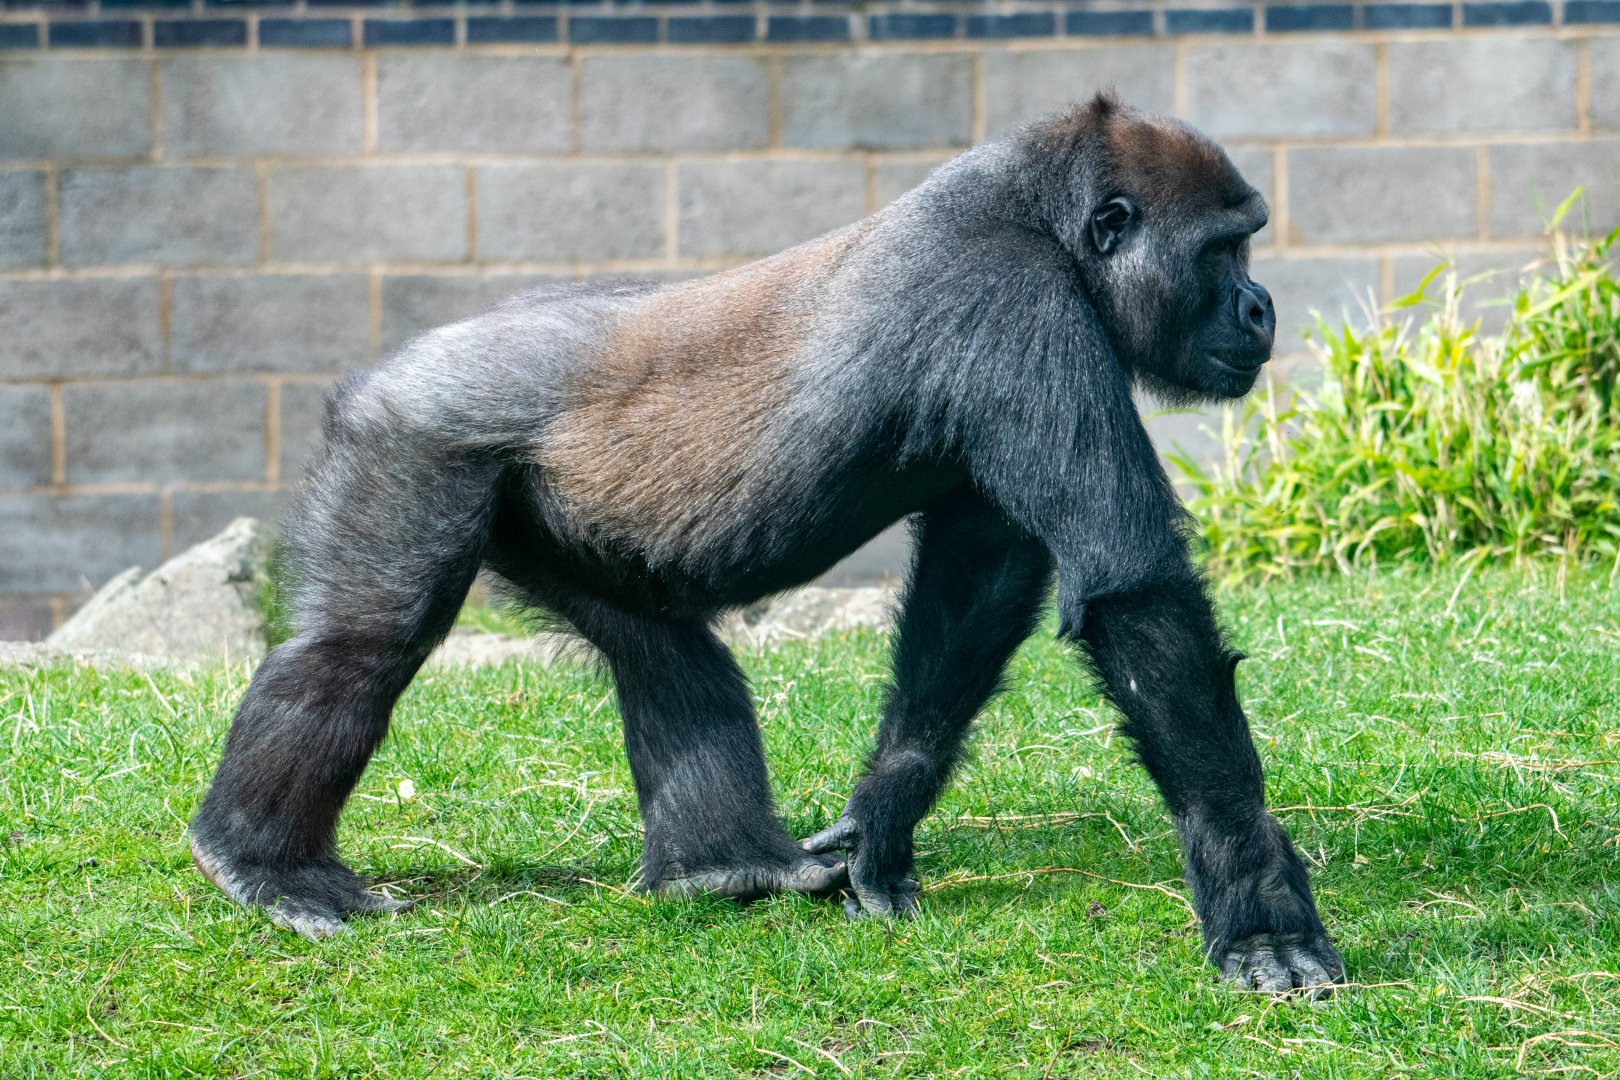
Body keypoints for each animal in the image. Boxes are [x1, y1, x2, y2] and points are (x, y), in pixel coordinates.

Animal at [188, 94, 1343, 993]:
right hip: (411, 437)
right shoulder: (1015, 302)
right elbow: (1132, 592)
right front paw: (1258, 898)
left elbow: (974, 589)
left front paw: (882, 816)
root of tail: (392, 364)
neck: (1042, 217)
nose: (1261, 306)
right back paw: (260, 860)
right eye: (1223, 248)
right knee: (363, 646)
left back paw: (727, 866)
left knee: (665, 652)